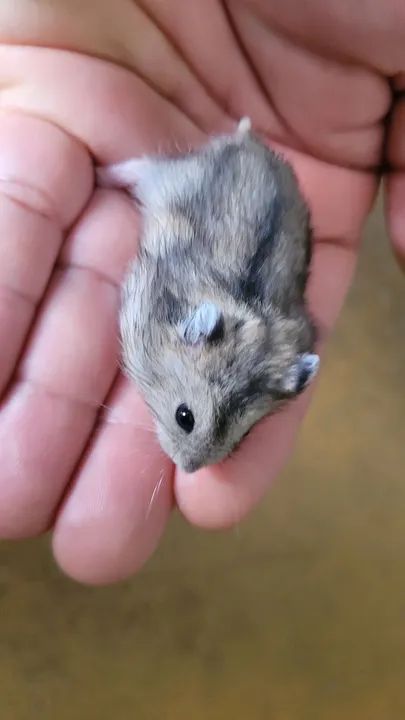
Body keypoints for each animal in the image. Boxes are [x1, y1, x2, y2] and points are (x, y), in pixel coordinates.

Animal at [97, 118, 319, 473]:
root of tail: (249, 141)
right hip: (171, 177)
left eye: (245, 435)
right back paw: (100, 173)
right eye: (184, 417)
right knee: (138, 166)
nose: (188, 469)